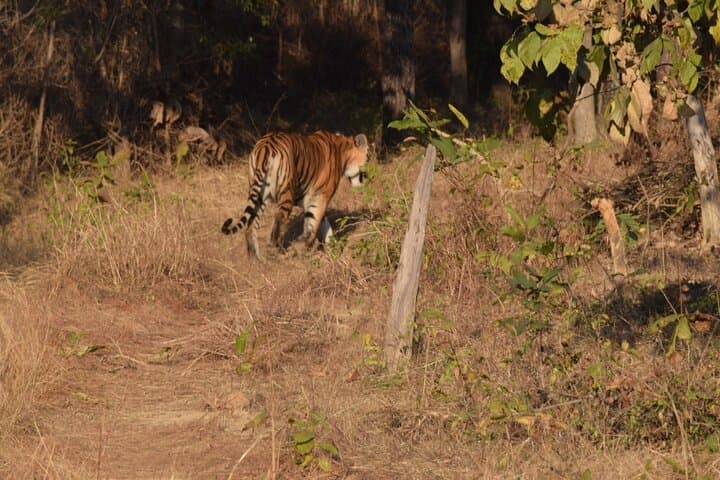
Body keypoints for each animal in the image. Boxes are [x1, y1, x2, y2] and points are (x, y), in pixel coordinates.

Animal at [221, 131, 371, 260]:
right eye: (369, 156)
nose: (370, 176)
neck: (344, 153)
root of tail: (266, 145)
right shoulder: (321, 196)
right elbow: (314, 222)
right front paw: (307, 246)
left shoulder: (309, 199)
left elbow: (321, 222)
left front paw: (330, 245)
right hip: (286, 191)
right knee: (278, 216)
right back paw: (273, 247)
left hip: (259, 195)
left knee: (251, 225)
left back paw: (255, 259)